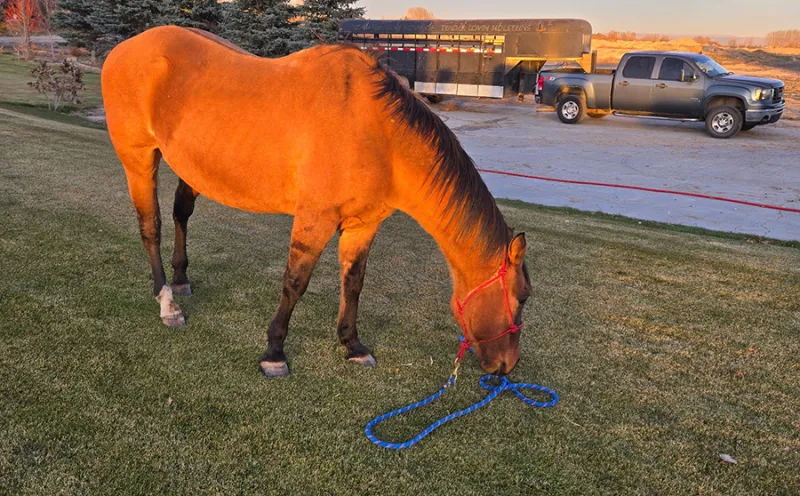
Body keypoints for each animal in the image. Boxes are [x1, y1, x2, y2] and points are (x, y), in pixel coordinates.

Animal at [101, 26, 532, 377]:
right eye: (523, 298)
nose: (507, 366)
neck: (378, 132)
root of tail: (122, 49)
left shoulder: (363, 224)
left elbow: (354, 282)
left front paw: (352, 344)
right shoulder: (314, 218)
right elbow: (295, 282)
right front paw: (274, 352)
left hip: (190, 168)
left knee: (181, 214)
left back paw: (181, 279)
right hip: (138, 160)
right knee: (151, 227)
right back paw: (168, 304)